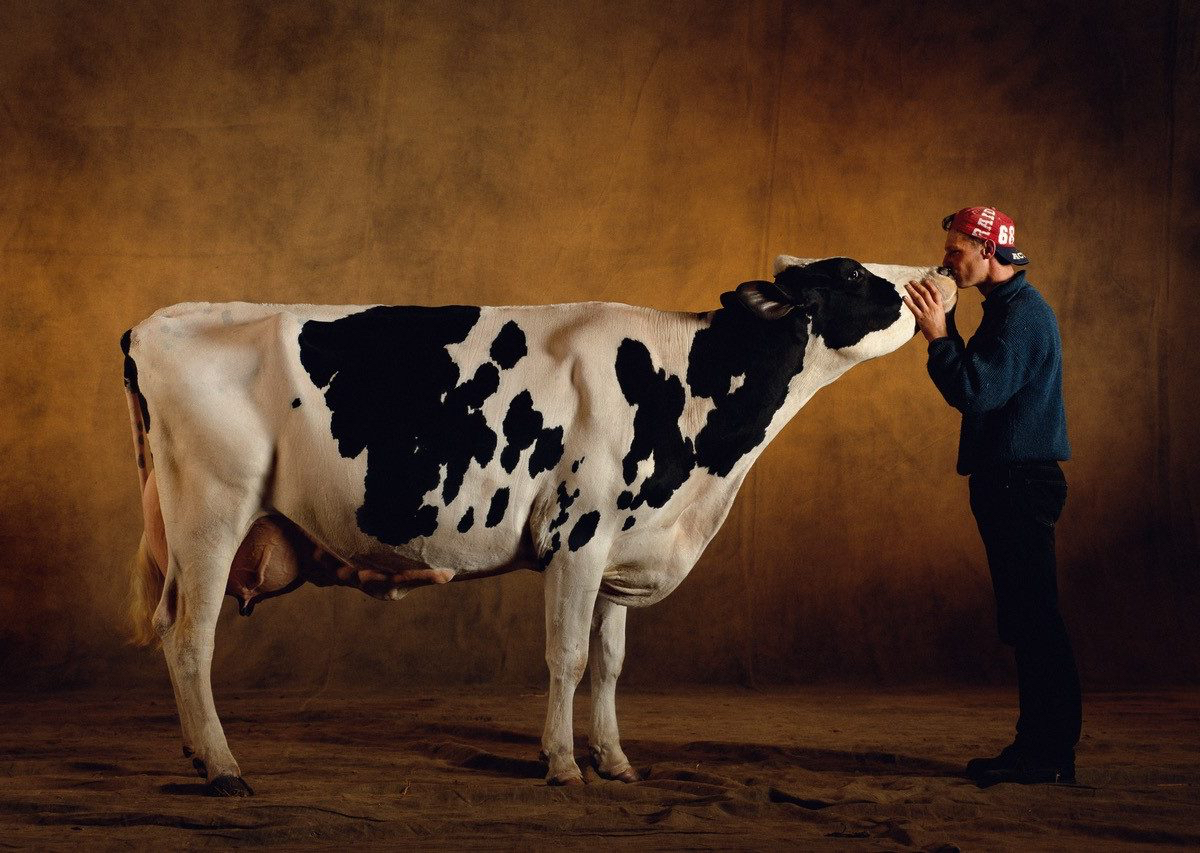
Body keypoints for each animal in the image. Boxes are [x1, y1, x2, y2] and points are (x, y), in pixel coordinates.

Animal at [121, 253, 955, 791]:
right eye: (854, 274)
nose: (941, 278)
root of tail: (156, 322)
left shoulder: (619, 549)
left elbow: (611, 663)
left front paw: (614, 760)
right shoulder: (577, 535)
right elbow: (568, 658)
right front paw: (561, 764)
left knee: (168, 625)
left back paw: (199, 754)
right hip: (212, 510)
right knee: (191, 637)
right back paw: (222, 767)